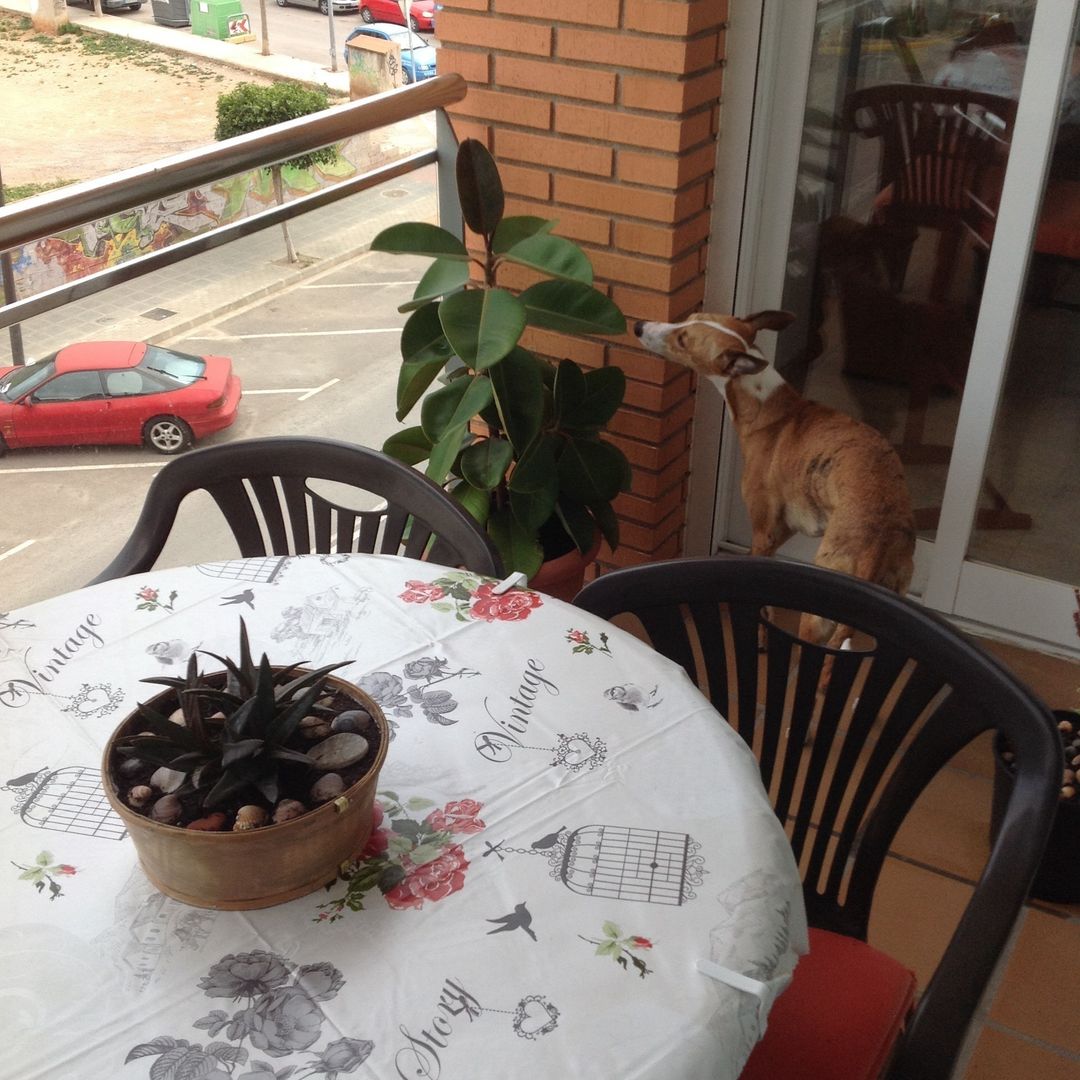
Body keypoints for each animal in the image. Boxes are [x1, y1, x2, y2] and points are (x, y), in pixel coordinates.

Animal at [635, 311, 915, 648]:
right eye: (690, 318)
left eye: (683, 340)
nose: (638, 327)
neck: (765, 404)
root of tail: (879, 543)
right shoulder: (782, 531)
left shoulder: (762, 534)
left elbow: (762, 606)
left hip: (817, 618)